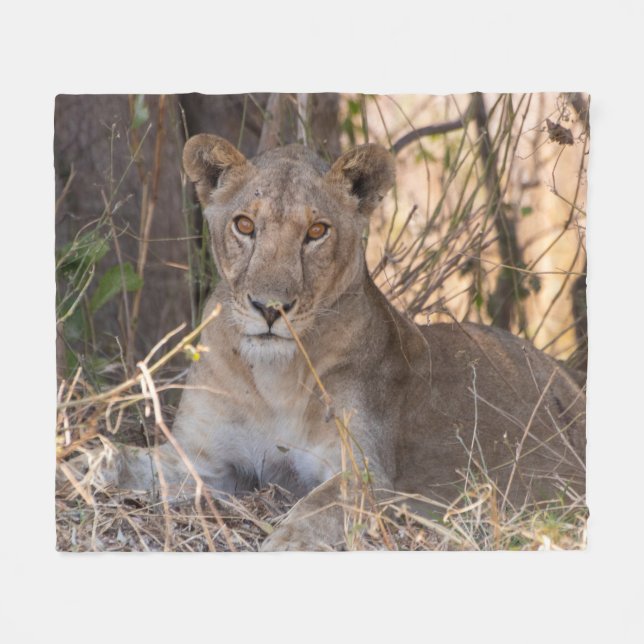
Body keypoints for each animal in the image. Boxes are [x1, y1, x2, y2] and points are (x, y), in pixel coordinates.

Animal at [68, 134, 586, 551]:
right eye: (244, 225)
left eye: (316, 232)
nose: (270, 308)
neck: (273, 378)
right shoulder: (199, 461)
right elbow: (123, 459)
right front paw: (80, 466)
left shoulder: (366, 474)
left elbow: (316, 508)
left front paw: (283, 545)